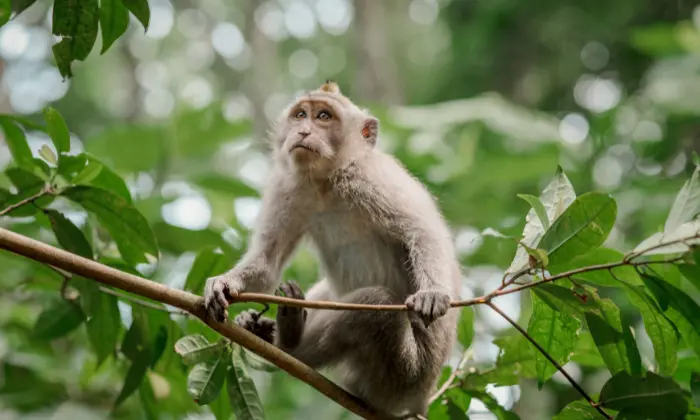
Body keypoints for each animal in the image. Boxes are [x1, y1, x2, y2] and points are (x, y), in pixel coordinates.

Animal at [204, 81, 461, 418]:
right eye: (301, 115)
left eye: (323, 116)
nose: (302, 131)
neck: (328, 181)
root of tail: (421, 399)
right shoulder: (289, 187)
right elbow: (266, 263)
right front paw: (224, 284)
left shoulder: (373, 178)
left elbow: (425, 233)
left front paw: (433, 293)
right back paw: (267, 328)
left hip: (400, 377)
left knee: (376, 305)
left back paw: (289, 343)